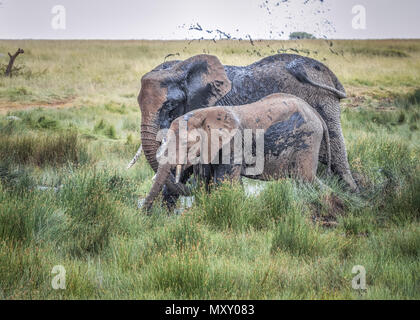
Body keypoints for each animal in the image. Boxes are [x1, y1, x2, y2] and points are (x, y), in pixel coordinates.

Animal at [143, 94, 330, 211]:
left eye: (185, 144)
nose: (144, 214)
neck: (203, 114)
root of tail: (317, 115)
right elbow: (206, 180)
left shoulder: (233, 144)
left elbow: (224, 182)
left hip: (307, 140)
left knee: (305, 179)